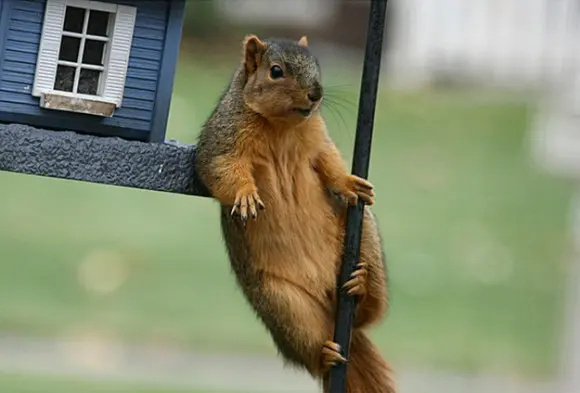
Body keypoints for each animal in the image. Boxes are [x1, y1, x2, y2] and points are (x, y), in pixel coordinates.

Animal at [195, 34, 398, 392]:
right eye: (276, 71)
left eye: (317, 64)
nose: (316, 94)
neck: (282, 126)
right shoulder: (221, 143)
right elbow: (223, 170)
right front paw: (245, 195)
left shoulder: (319, 140)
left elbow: (330, 162)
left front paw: (348, 182)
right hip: (283, 305)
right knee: (308, 349)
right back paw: (326, 356)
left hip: (364, 237)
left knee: (369, 315)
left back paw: (361, 288)